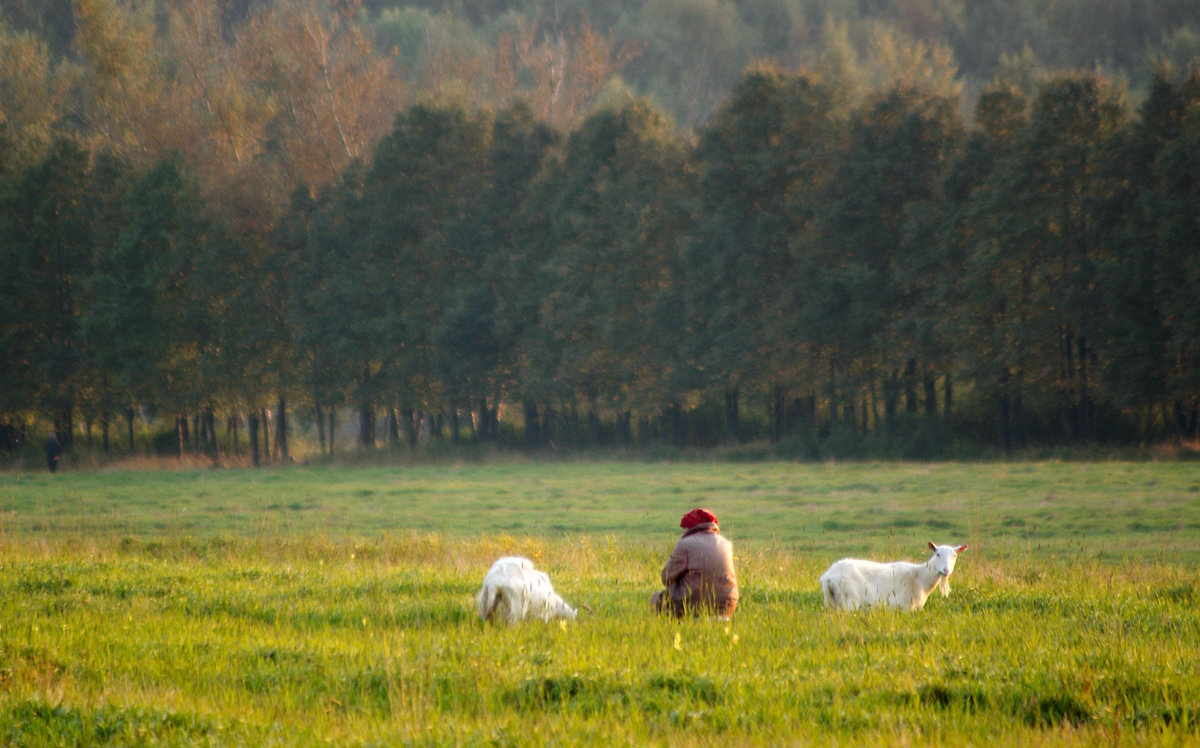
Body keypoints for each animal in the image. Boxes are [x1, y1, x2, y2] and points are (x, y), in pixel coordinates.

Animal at [820, 540, 969, 612]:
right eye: (937, 554)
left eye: (954, 556)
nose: (946, 570)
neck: (920, 577)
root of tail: (828, 577)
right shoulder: (905, 607)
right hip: (849, 599)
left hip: (833, 601)